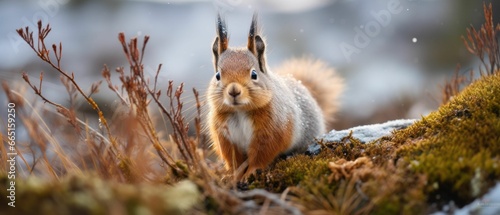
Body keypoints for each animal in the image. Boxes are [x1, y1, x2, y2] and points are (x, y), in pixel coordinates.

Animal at [207, 14, 344, 180]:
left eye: (254, 74)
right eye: (217, 75)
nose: (233, 91)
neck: (240, 111)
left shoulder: (273, 131)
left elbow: (261, 156)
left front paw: (251, 172)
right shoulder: (225, 137)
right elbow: (234, 160)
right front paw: (233, 175)